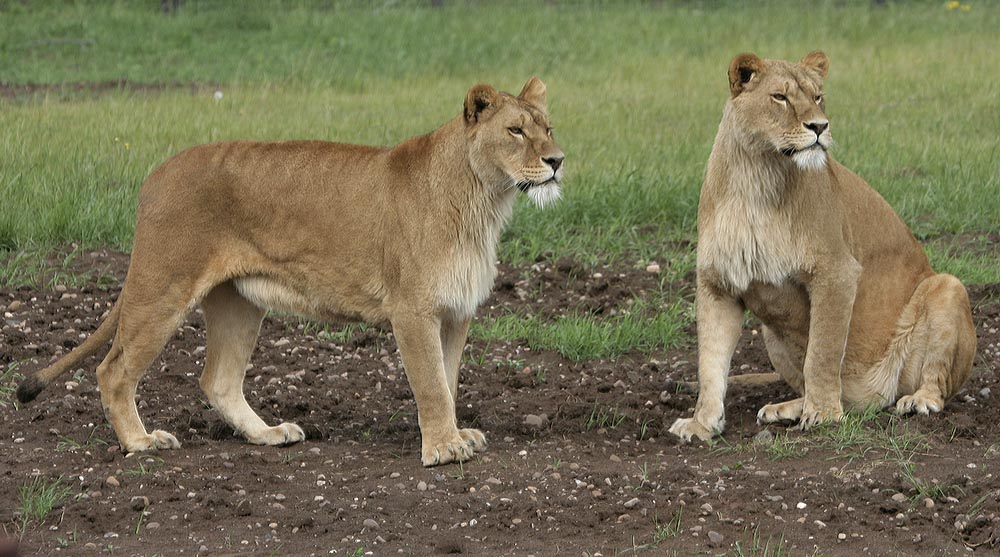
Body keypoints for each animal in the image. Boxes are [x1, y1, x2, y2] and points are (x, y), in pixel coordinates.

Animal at [17, 77, 565, 467]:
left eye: (548, 128)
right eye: (516, 131)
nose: (558, 160)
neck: (484, 202)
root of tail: (156, 173)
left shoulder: (455, 311)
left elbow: (448, 379)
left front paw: (454, 435)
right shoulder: (413, 310)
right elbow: (431, 382)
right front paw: (444, 449)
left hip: (238, 301)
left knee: (218, 379)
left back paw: (268, 434)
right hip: (162, 287)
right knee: (113, 370)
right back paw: (141, 442)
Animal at [669, 52, 976, 442]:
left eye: (817, 97)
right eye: (780, 97)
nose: (819, 126)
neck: (756, 178)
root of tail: (867, 401)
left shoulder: (837, 272)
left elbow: (823, 352)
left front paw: (825, 415)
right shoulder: (717, 283)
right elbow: (709, 362)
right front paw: (702, 423)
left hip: (948, 288)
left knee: (933, 383)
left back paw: (917, 401)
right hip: (771, 333)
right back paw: (787, 408)